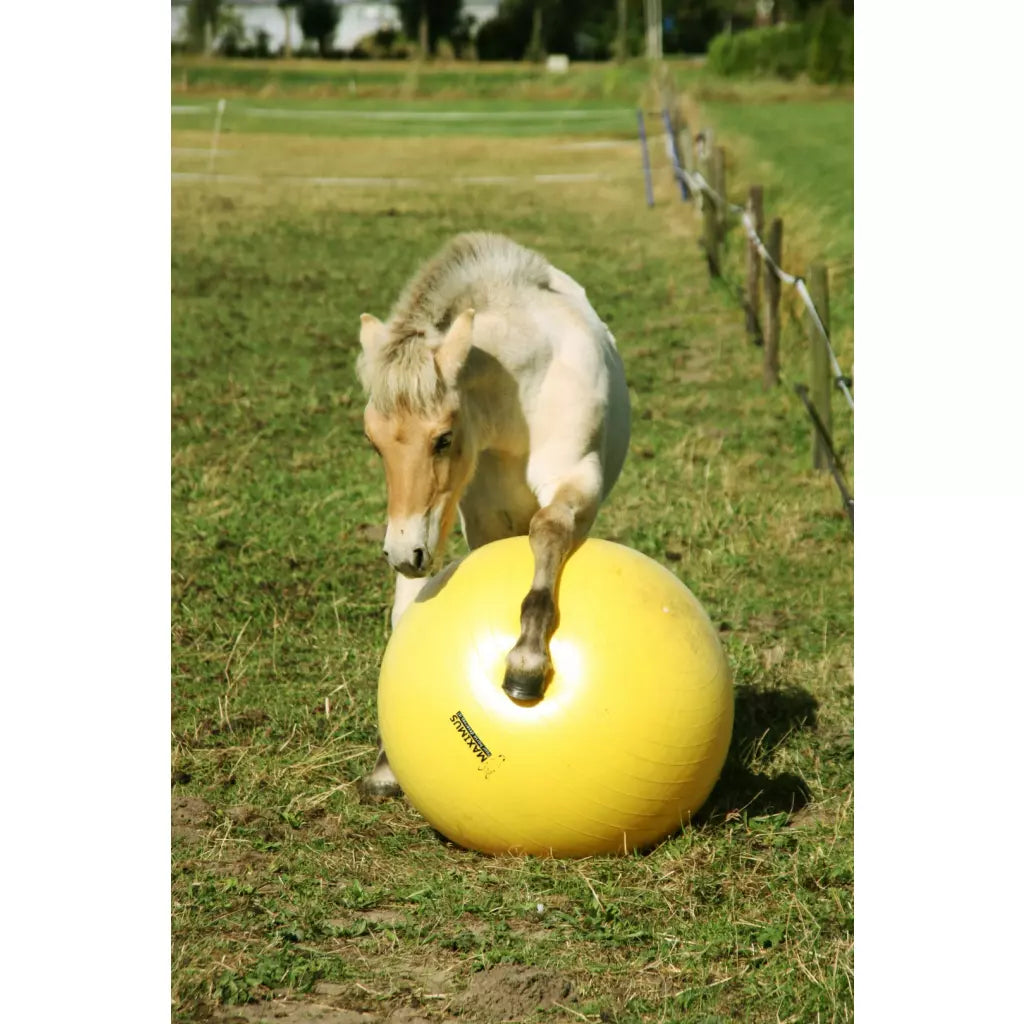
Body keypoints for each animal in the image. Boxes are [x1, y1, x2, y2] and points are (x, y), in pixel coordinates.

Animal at [355, 232, 631, 799]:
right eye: (373, 442)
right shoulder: (474, 516)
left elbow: (549, 530)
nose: (401, 550)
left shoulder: (577, 480)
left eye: (443, 438)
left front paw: (525, 667)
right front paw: (388, 761)